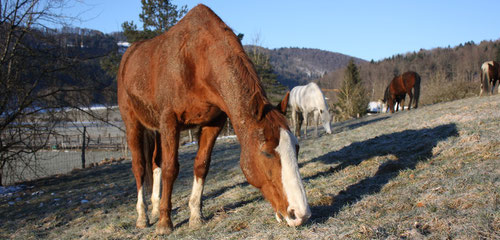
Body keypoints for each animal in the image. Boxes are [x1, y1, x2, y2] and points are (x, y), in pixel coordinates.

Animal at [118, 4, 310, 235]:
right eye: (266, 152)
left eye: (296, 147)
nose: (300, 214)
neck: (195, 61)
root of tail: (129, 54)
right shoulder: (169, 122)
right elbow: (170, 169)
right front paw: (165, 223)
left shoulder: (214, 123)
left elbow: (201, 165)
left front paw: (195, 217)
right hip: (133, 124)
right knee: (139, 166)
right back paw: (143, 216)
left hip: (155, 129)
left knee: (155, 163)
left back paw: (154, 209)